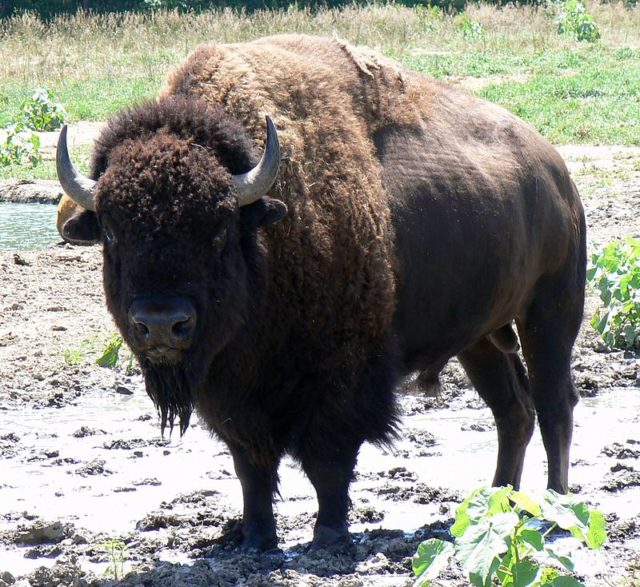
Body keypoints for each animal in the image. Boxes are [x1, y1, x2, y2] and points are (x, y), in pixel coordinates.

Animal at [55, 35, 584, 552]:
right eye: (113, 232)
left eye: (219, 228)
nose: (162, 323)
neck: (265, 236)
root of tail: (557, 171)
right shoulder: (231, 393)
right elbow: (252, 466)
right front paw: (256, 539)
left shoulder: (341, 374)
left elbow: (327, 460)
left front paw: (327, 537)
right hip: (482, 338)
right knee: (513, 412)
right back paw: (497, 506)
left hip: (550, 316)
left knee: (554, 404)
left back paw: (553, 509)